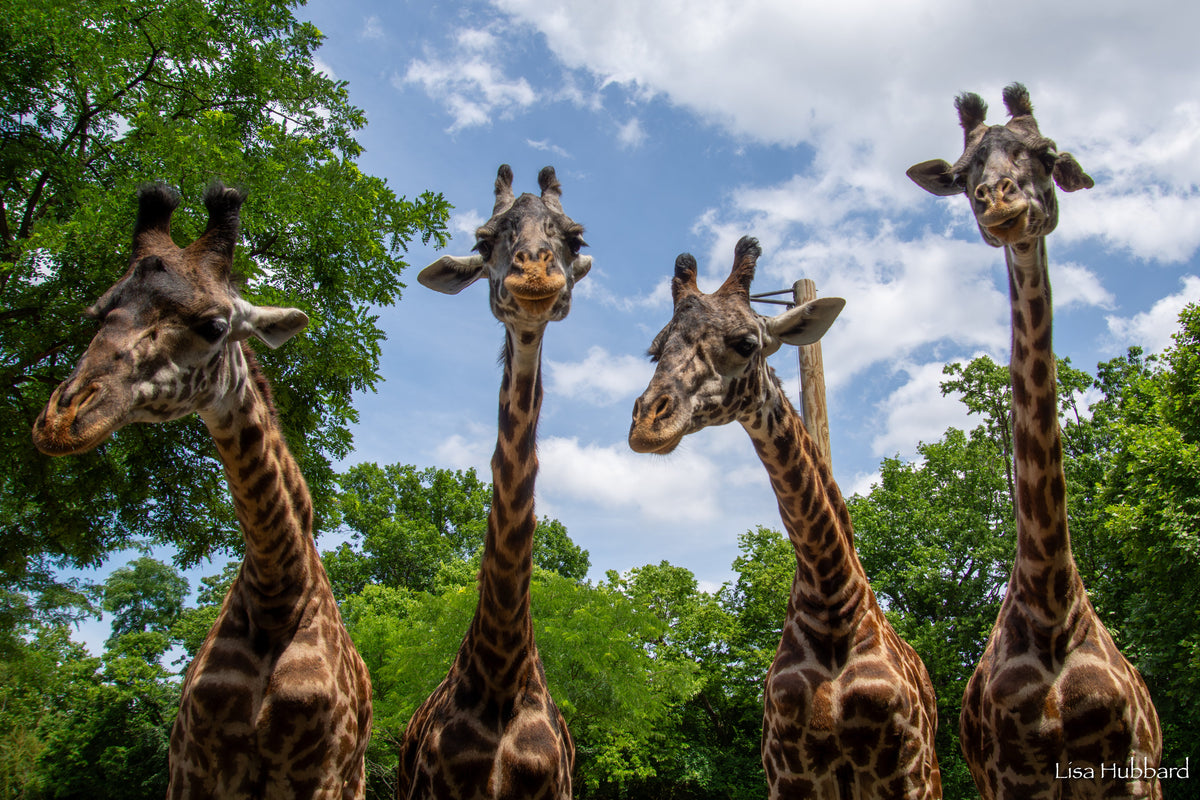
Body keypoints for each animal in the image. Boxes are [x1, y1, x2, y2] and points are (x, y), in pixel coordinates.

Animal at [31, 182, 372, 799]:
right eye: (97, 311)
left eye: (214, 325)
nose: (62, 421)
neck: (277, 593)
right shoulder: (191, 763)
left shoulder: (319, 774)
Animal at [629, 236, 942, 799]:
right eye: (655, 349)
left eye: (746, 343)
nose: (647, 424)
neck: (831, 603)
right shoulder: (789, 772)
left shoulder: (906, 772)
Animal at [907, 82, 1162, 799]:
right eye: (963, 174)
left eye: (1046, 154)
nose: (1000, 203)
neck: (1050, 605)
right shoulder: (1008, 774)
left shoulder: (1130, 770)